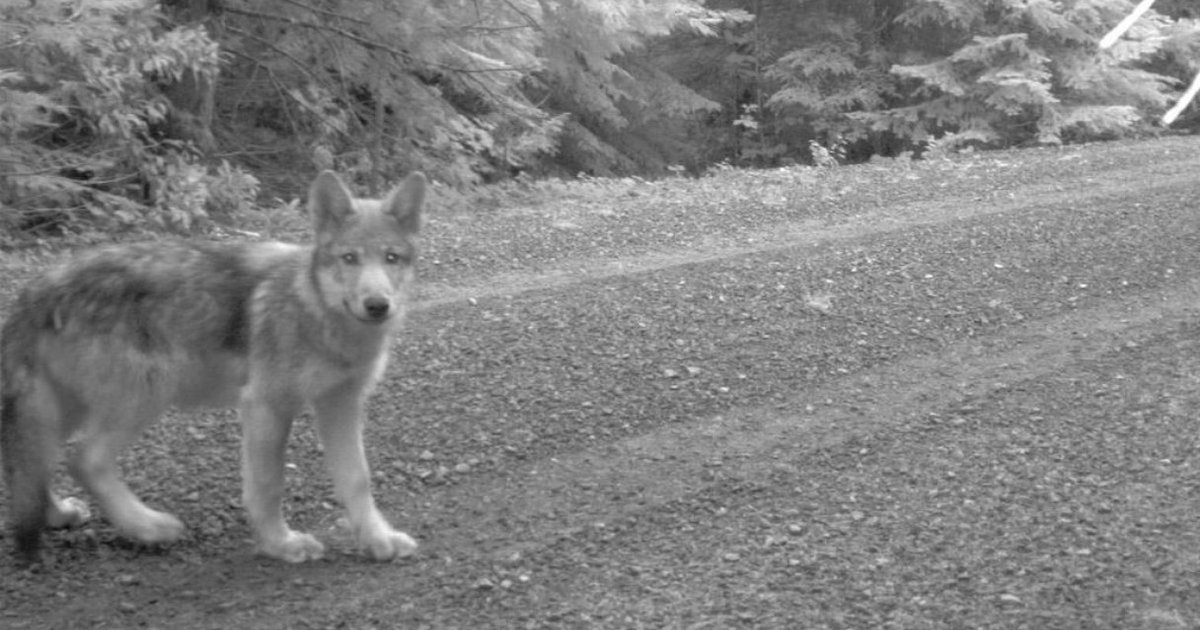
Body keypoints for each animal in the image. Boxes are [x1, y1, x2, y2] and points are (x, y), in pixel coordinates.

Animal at [0, 169, 427, 561]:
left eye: (391, 258)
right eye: (349, 259)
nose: (377, 305)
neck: (318, 312)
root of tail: (41, 287)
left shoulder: (341, 405)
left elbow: (357, 480)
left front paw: (378, 541)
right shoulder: (265, 406)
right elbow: (268, 486)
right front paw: (281, 544)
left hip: (68, 410)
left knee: (30, 459)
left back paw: (59, 514)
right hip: (145, 396)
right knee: (83, 461)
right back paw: (149, 527)